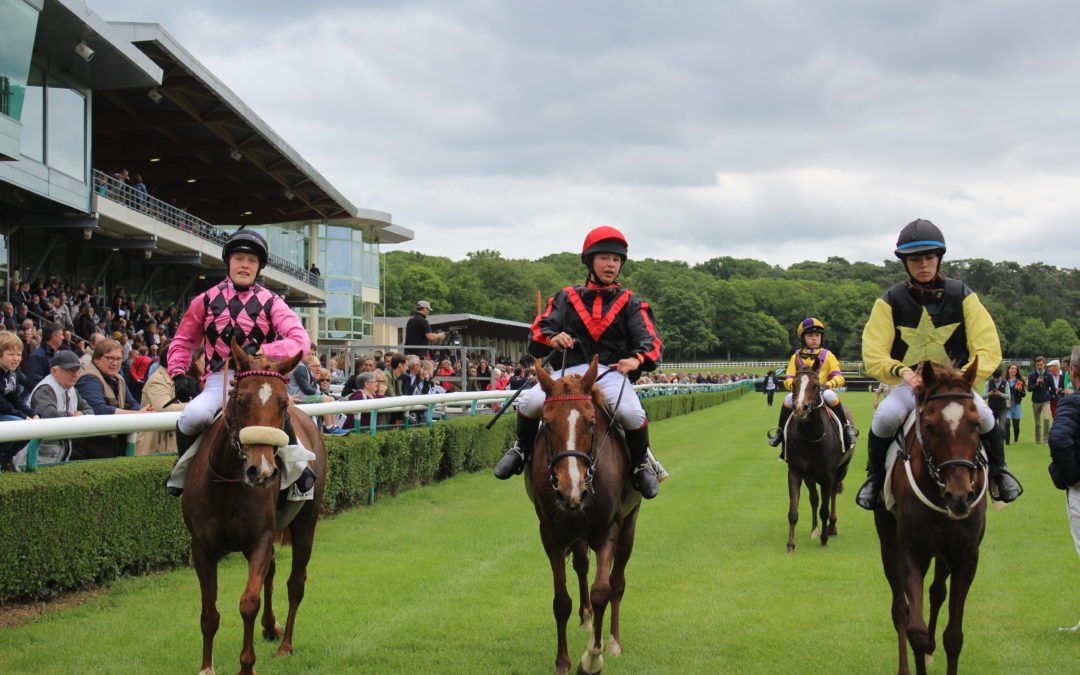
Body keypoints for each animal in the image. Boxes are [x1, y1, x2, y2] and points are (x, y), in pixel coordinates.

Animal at [181, 341, 326, 673]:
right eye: (241, 400)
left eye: (282, 404)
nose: (261, 471)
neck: (226, 485)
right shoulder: (201, 547)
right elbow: (209, 611)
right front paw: (206, 666)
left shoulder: (259, 538)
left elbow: (249, 602)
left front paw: (247, 665)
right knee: (271, 572)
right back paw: (271, 627)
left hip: (306, 523)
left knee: (295, 583)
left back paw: (285, 644)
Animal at [527, 356, 643, 673]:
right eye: (547, 424)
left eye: (591, 423)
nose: (572, 490)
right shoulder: (550, 532)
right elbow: (561, 601)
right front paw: (563, 662)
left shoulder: (610, 528)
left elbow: (602, 590)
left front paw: (592, 658)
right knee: (581, 566)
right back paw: (586, 619)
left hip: (630, 524)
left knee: (618, 583)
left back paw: (613, 641)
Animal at [786, 358, 851, 552]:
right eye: (794, 384)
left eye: (815, 385)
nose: (800, 409)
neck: (811, 437)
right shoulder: (796, 472)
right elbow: (793, 511)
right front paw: (790, 544)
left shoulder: (828, 475)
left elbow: (825, 509)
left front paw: (824, 538)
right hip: (810, 477)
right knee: (814, 499)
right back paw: (814, 530)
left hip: (841, 471)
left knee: (833, 495)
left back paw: (832, 527)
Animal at [872, 360, 989, 673]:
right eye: (930, 425)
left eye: (976, 423)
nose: (960, 496)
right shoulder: (912, 551)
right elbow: (916, 629)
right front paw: (920, 652)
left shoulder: (966, 555)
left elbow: (954, 635)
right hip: (889, 541)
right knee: (900, 608)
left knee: (937, 591)